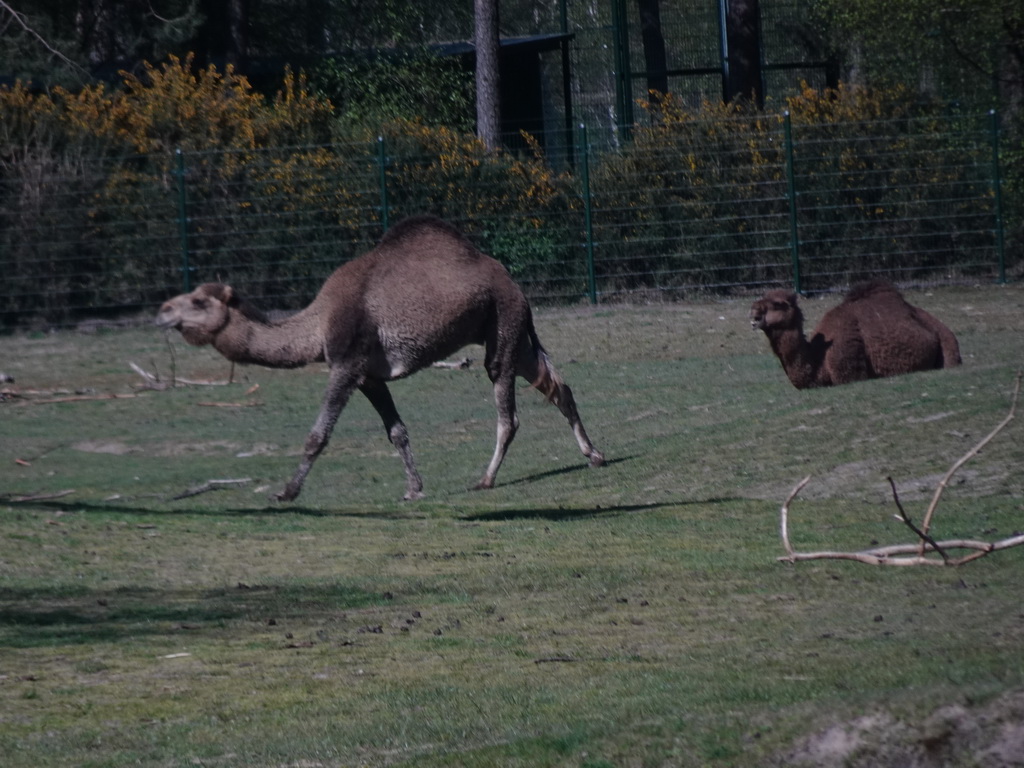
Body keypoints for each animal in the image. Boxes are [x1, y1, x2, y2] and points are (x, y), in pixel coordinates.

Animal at [155, 217, 602, 505]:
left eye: (198, 301)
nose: (162, 310)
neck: (319, 323)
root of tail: (511, 281)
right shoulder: (370, 376)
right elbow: (397, 432)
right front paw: (414, 489)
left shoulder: (346, 364)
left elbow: (317, 435)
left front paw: (286, 492)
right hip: (508, 329)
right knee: (557, 385)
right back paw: (593, 454)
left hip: (503, 319)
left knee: (508, 409)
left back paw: (486, 479)